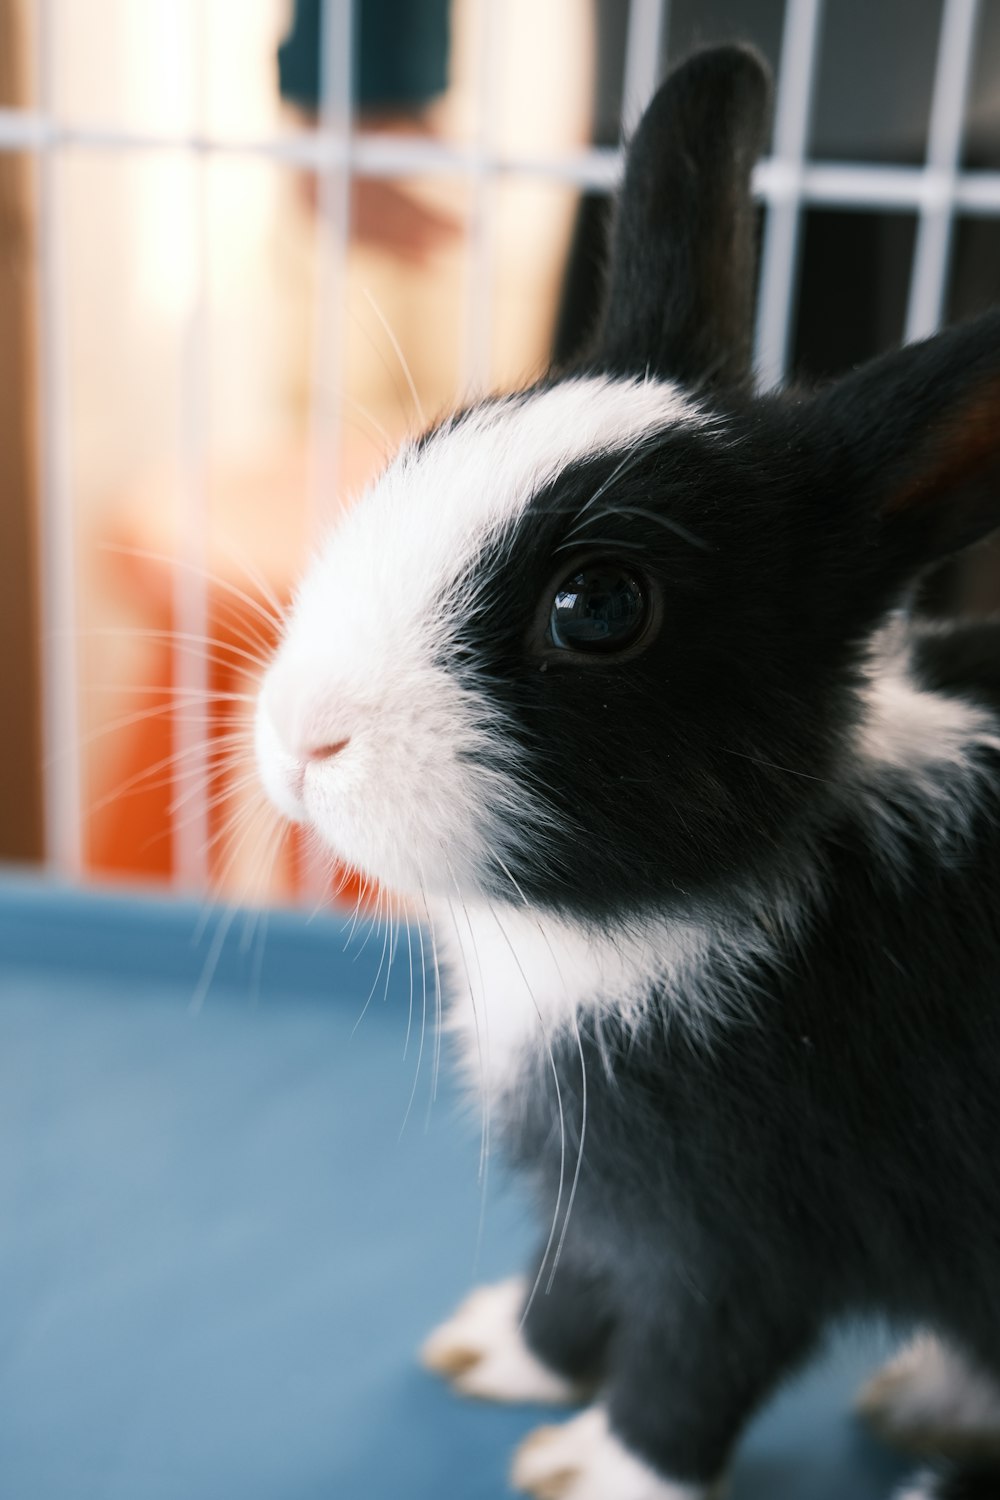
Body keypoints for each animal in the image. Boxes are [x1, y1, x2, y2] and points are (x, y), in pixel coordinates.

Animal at [256, 43, 1000, 1500]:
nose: (302, 738)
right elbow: (575, 1289)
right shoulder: (604, 1203)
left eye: (599, 608)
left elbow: (692, 1365)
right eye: (436, 444)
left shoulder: (751, 1232)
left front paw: (590, 1471)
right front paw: (495, 1354)